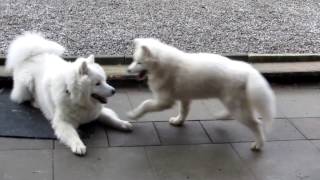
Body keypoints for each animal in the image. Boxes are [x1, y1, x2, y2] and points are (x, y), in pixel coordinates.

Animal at [127, 38, 276, 151]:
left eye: (139, 62)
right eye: (133, 60)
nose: (128, 70)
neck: (161, 65)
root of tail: (248, 71)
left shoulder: (165, 100)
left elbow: (145, 104)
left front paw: (133, 115)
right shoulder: (185, 97)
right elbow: (184, 111)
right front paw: (178, 121)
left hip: (235, 104)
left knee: (256, 124)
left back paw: (258, 144)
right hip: (233, 101)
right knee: (234, 113)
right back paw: (221, 116)